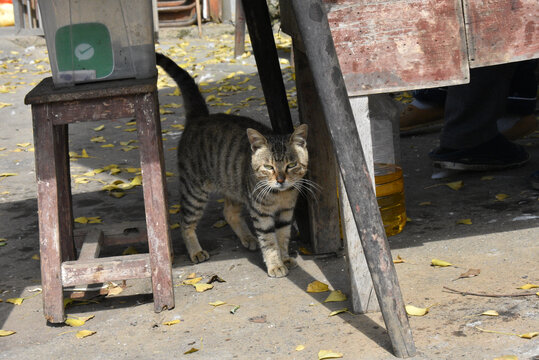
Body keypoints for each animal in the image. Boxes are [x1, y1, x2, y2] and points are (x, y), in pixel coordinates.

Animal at [156, 54, 308, 278]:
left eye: (292, 165)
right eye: (268, 167)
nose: (280, 180)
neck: (280, 195)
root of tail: (199, 117)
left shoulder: (286, 212)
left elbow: (282, 237)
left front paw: (285, 257)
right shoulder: (261, 214)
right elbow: (269, 241)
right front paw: (275, 264)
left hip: (233, 185)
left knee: (228, 212)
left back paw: (248, 238)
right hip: (194, 191)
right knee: (185, 222)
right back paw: (196, 251)